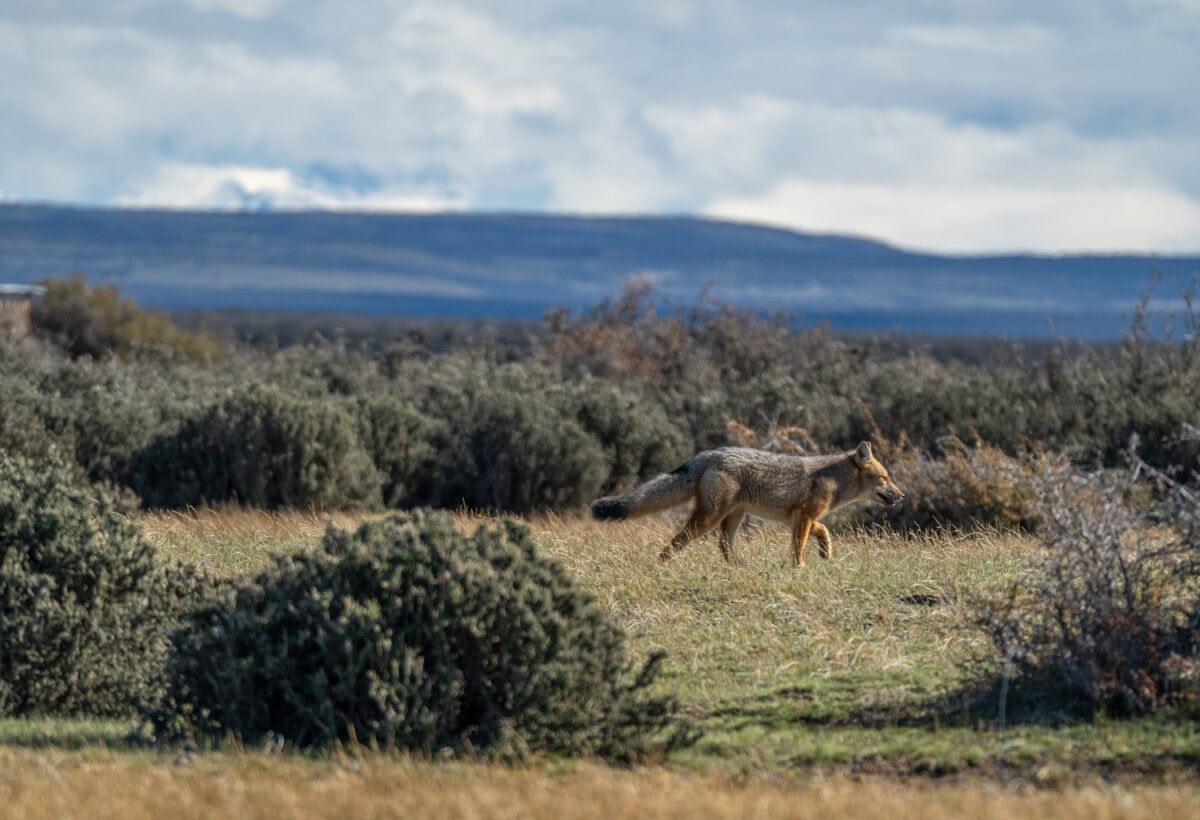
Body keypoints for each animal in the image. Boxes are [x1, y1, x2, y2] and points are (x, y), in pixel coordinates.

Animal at [585, 439, 902, 566]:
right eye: (884, 478)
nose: (901, 495)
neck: (833, 478)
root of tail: (708, 454)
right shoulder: (802, 517)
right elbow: (798, 547)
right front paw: (799, 567)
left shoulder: (800, 518)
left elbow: (823, 530)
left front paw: (825, 552)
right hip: (708, 518)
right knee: (677, 541)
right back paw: (662, 566)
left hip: (733, 518)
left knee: (723, 546)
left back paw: (737, 566)